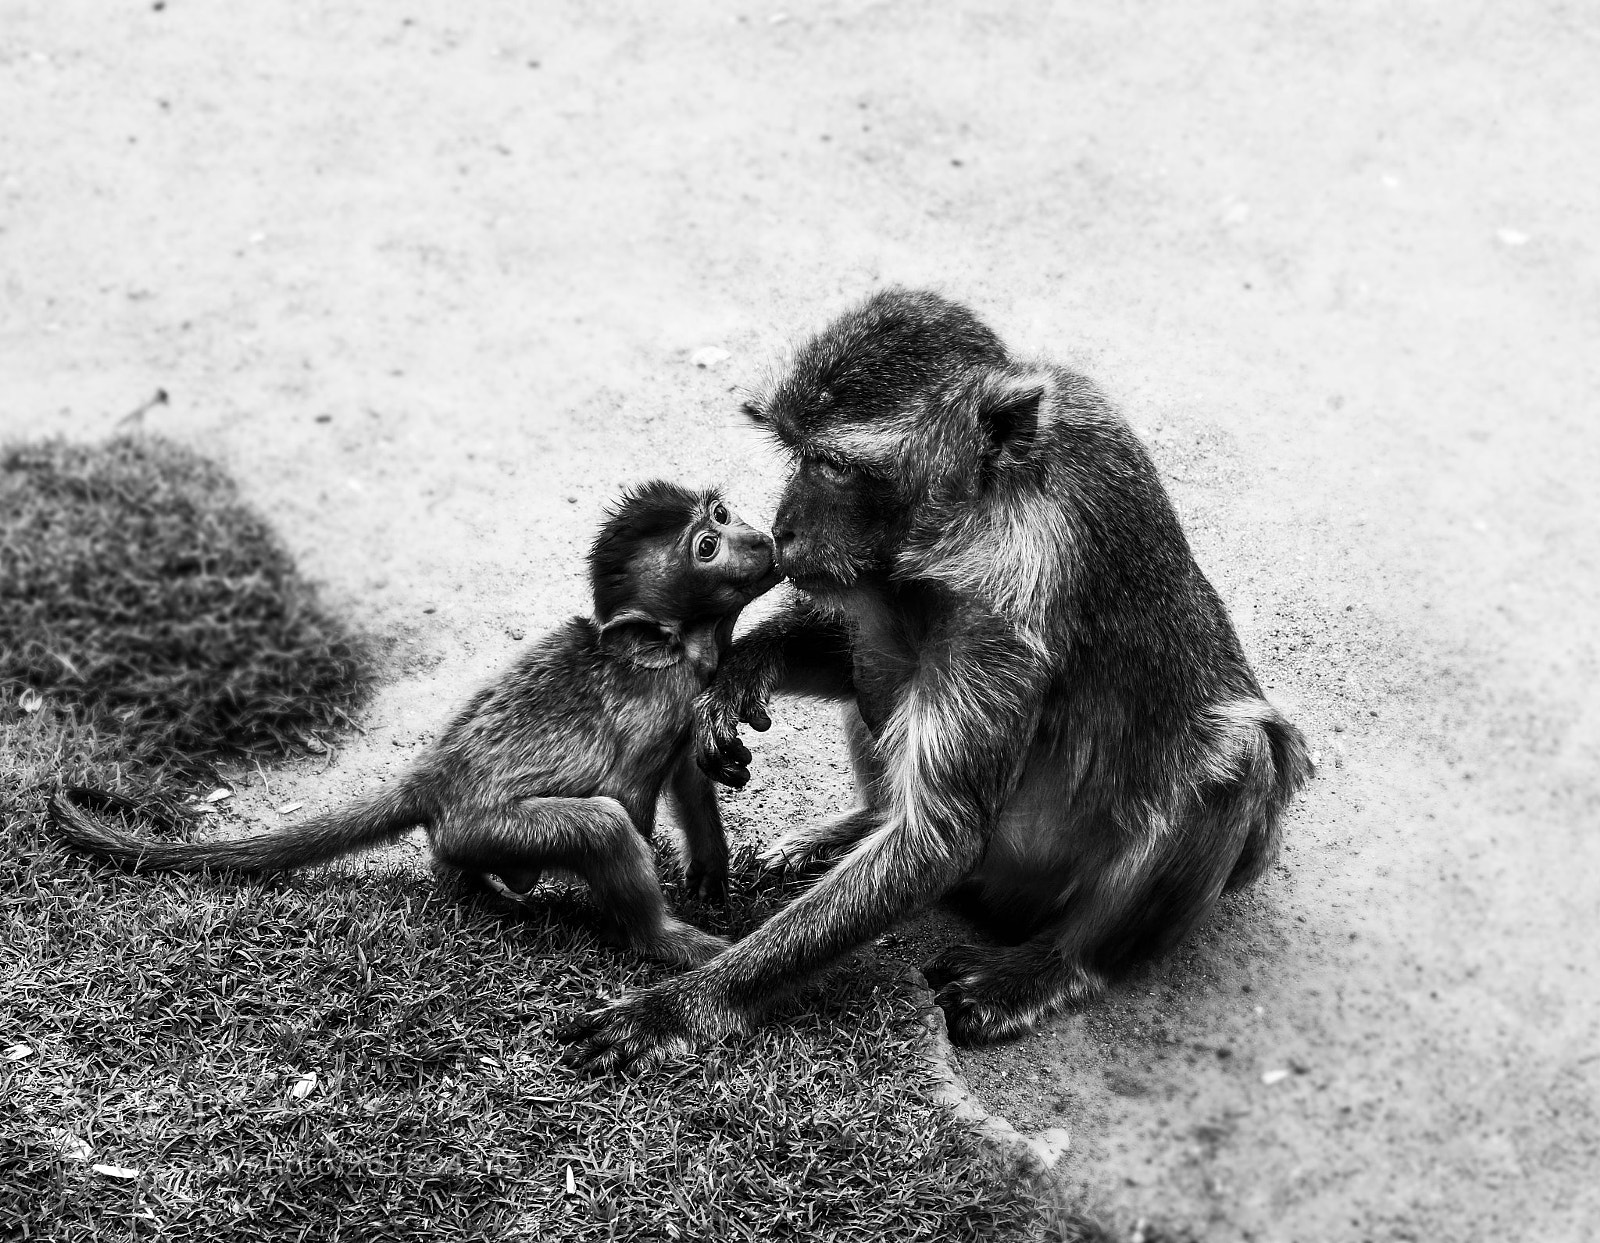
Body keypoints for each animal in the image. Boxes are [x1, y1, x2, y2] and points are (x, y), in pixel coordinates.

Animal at [50, 482, 782, 968]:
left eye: (721, 514)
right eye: (708, 546)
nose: (762, 536)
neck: (675, 650)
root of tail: (433, 776)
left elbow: (690, 767)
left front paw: (710, 863)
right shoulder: (660, 703)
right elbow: (631, 801)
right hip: (485, 823)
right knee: (600, 824)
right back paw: (669, 941)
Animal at [561, 287, 1311, 1072]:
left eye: (833, 465)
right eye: (794, 453)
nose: (783, 527)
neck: (994, 494)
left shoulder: (1007, 595)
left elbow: (941, 836)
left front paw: (680, 1006)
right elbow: (860, 646)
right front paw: (741, 671)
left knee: (1237, 760)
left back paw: (1056, 967)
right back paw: (860, 824)